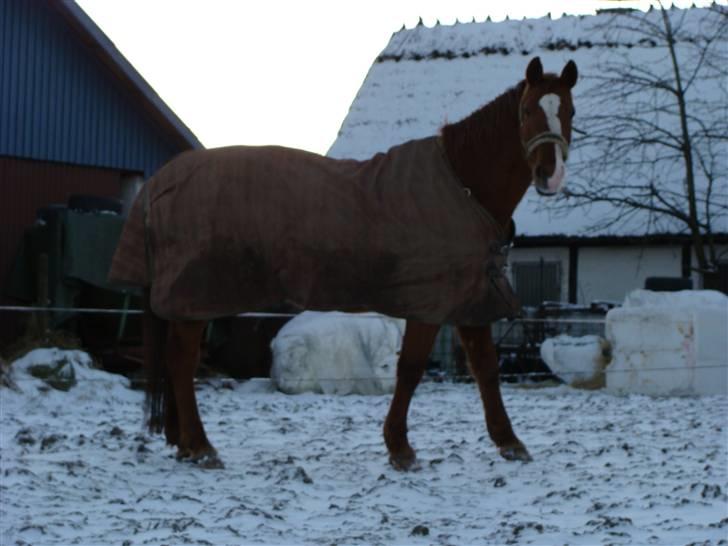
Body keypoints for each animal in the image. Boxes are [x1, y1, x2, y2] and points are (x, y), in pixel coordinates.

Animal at [139, 58, 576, 468]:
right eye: (526, 111)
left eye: (569, 111)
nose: (550, 175)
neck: (461, 185)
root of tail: (165, 182)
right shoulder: (430, 303)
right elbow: (411, 368)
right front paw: (400, 447)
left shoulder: (470, 297)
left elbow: (485, 367)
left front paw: (510, 442)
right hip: (198, 293)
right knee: (182, 360)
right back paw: (201, 447)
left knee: (178, 358)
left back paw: (183, 443)